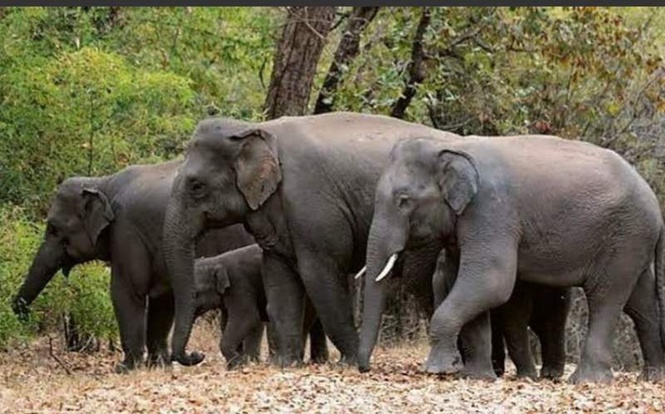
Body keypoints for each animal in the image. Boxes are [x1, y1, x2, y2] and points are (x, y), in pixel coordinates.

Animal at [11, 159, 256, 372]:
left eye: (53, 228)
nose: (24, 314)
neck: (102, 182)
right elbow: (162, 299)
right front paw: (158, 366)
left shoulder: (125, 231)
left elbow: (126, 292)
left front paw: (125, 368)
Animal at [194, 244, 329, 368]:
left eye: (196, 294)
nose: (200, 355)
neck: (216, 260)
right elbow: (227, 321)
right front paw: (239, 364)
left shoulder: (239, 285)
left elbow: (246, 318)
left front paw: (240, 365)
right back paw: (318, 361)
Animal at [358, 135, 665, 383]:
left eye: (403, 200)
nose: (364, 369)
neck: (450, 146)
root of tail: (655, 203)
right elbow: (469, 284)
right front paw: (476, 377)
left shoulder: (491, 210)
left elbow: (491, 282)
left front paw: (439, 371)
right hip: (633, 240)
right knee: (639, 302)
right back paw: (652, 377)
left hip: (625, 236)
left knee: (605, 296)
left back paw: (587, 381)